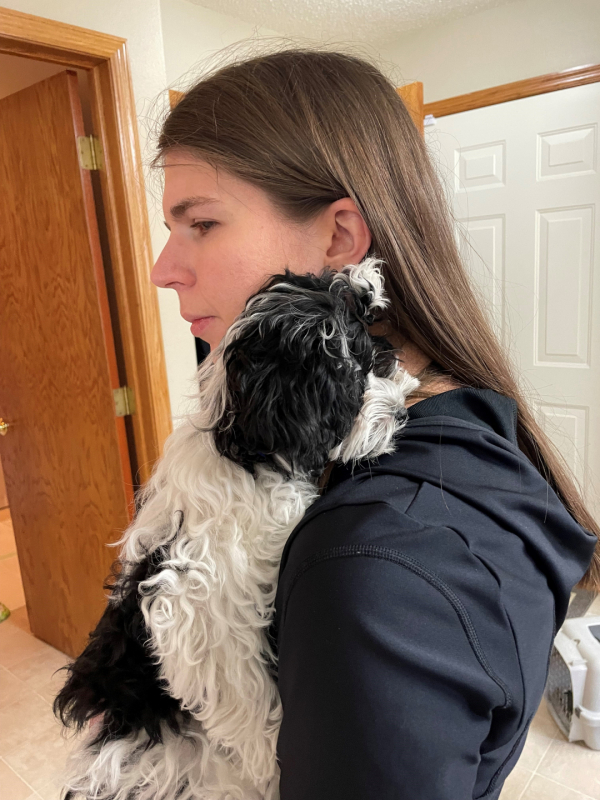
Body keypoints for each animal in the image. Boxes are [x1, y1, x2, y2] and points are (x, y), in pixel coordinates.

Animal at [54, 258, 420, 800]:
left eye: (375, 356)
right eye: (346, 379)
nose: (398, 413)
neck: (248, 452)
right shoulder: (195, 600)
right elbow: (240, 689)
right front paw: (270, 760)